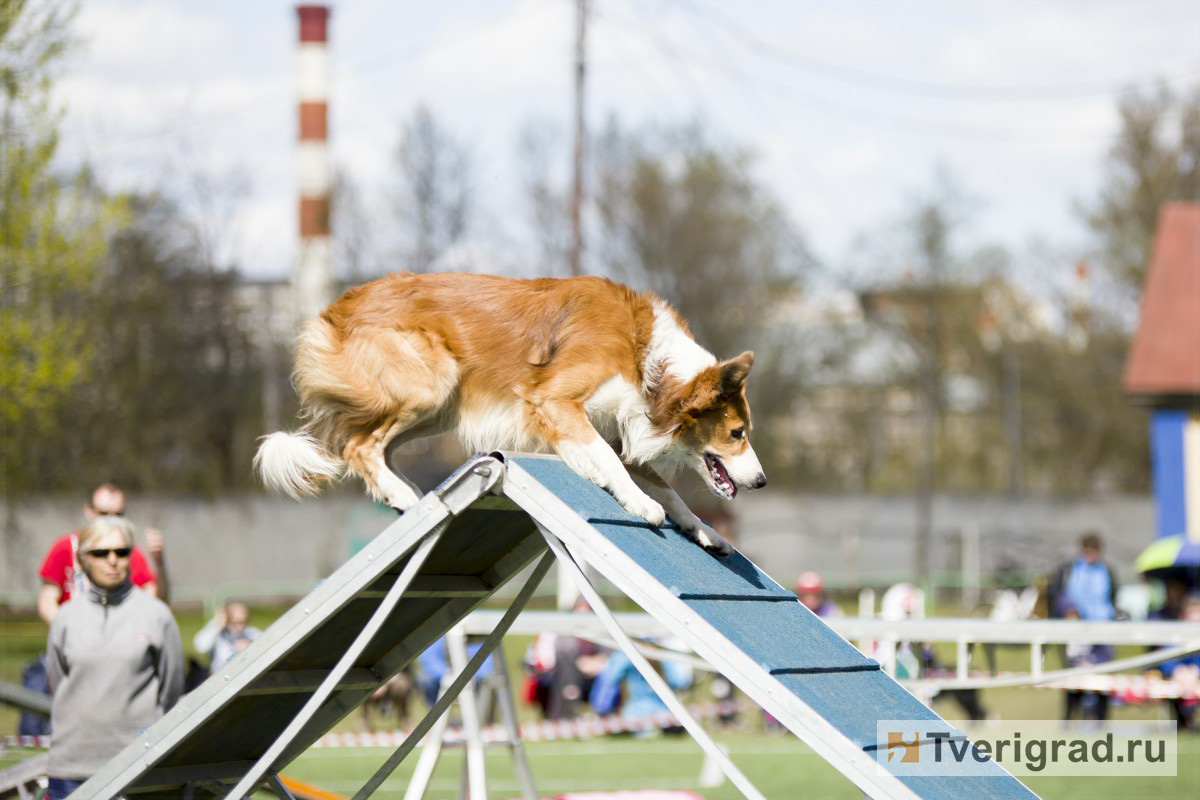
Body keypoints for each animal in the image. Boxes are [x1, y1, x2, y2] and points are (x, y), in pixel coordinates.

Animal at [258, 273, 772, 556]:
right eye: (737, 433)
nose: (762, 481)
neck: (648, 361)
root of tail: (335, 310)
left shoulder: (621, 425)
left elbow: (667, 489)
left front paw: (705, 533)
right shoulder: (557, 402)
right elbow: (611, 464)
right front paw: (639, 504)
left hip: (442, 404)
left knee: (379, 447)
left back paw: (413, 497)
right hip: (432, 380)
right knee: (360, 446)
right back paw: (403, 495)